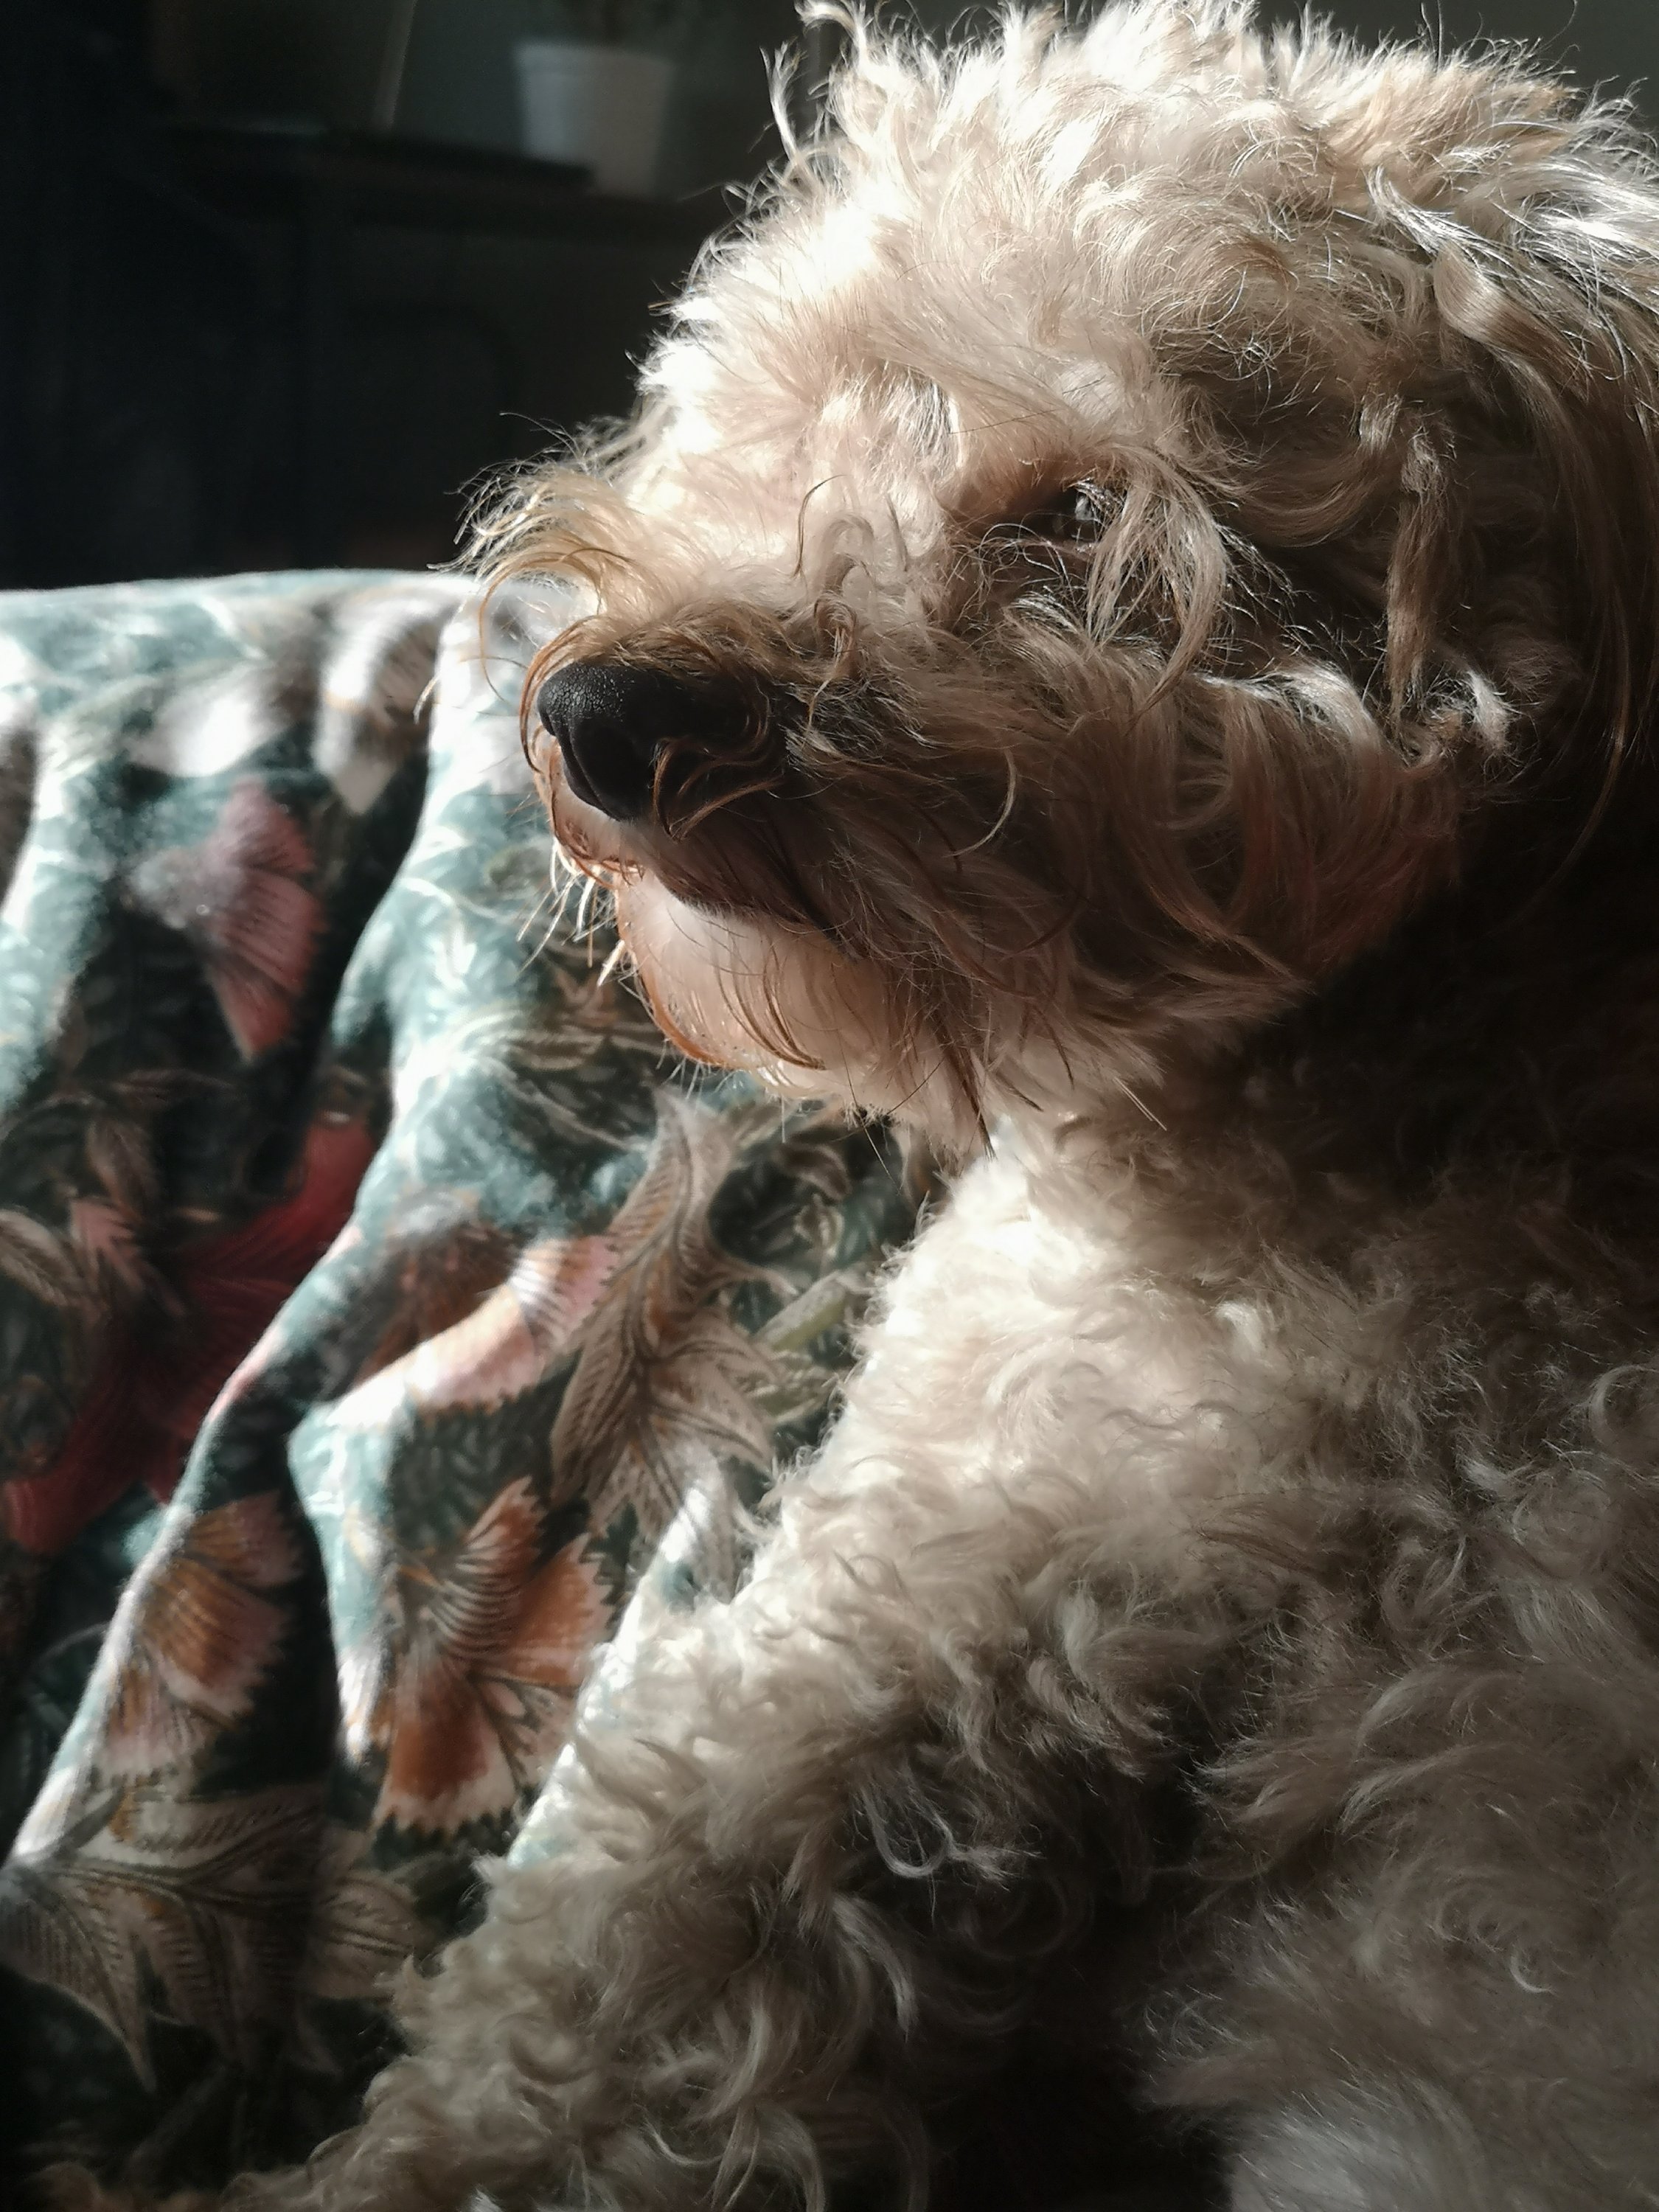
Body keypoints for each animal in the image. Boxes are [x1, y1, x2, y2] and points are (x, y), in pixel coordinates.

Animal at [115, 5, 1659, 2206]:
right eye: (788, 406)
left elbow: (594, 2000)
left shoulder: (960, 1607)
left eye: (1087, 514)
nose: (597, 715)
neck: (1429, 1015)